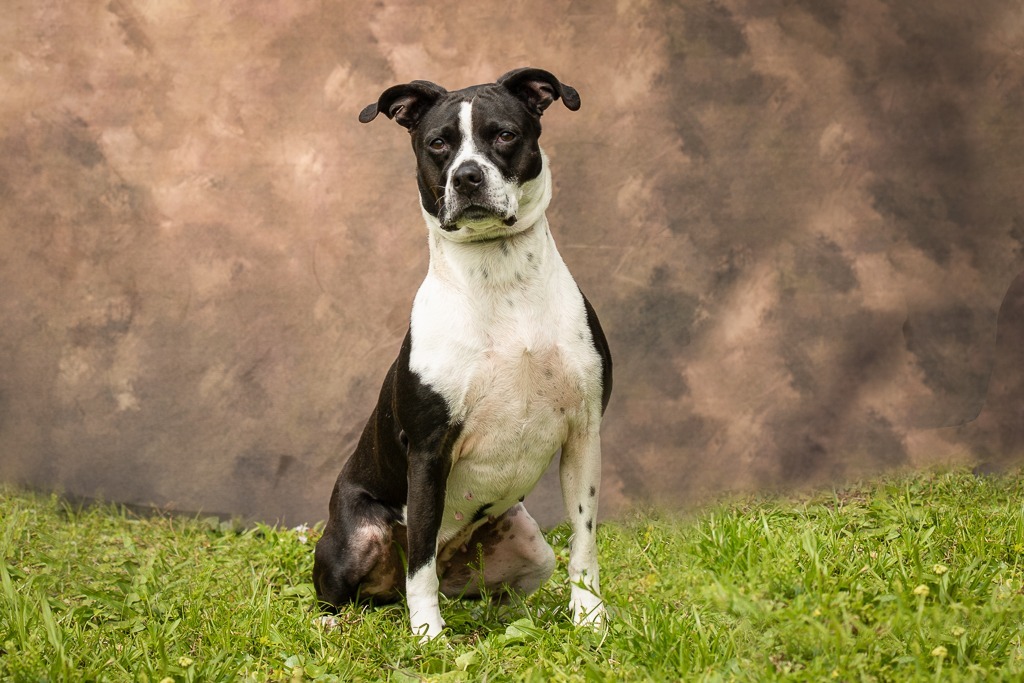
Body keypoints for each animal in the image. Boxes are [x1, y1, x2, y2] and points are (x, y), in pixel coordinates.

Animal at [311, 68, 610, 643]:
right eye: (438, 144)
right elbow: (421, 560)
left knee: (487, 593)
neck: (501, 278)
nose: (467, 176)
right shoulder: (429, 451)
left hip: (529, 548)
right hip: (356, 540)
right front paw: (428, 635)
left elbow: (583, 544)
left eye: (505, 135)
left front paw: (590, 618)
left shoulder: (584, 433)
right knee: (354, 590)